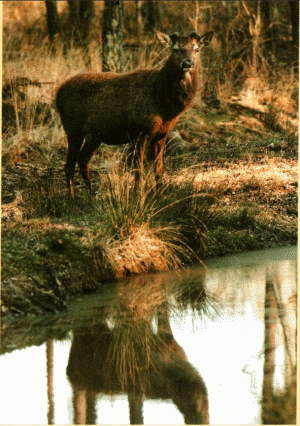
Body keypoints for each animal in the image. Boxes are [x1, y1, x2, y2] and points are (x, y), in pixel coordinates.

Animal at [55, 30, 213, 197]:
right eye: (175, 49)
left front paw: (160, 193)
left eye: (197, 49)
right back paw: (73, 199)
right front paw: (138, 194)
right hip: (73, 128)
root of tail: (58, 93)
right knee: (69, 165)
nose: (188, 63)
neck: (164, 105)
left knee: (83, 160)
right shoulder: (139, 131)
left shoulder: (162, 134)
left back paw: (91, 196)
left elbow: (159, 167)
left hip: (94, 136)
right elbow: (138, 168)